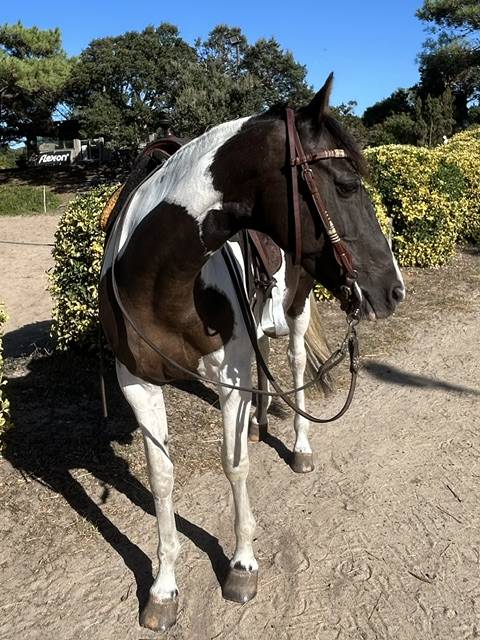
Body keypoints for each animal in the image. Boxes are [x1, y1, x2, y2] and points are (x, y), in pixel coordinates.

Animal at [99, 74, 405, 632]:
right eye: (346, 186)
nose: (393, 290)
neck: (157, 277)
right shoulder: (136, 381)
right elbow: (161, 480)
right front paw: (163, 589)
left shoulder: (229, 375)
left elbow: (234, 464)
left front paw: (242, 564)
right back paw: (263, 420)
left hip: (299, 307)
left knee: (296, 366)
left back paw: (299, 445)